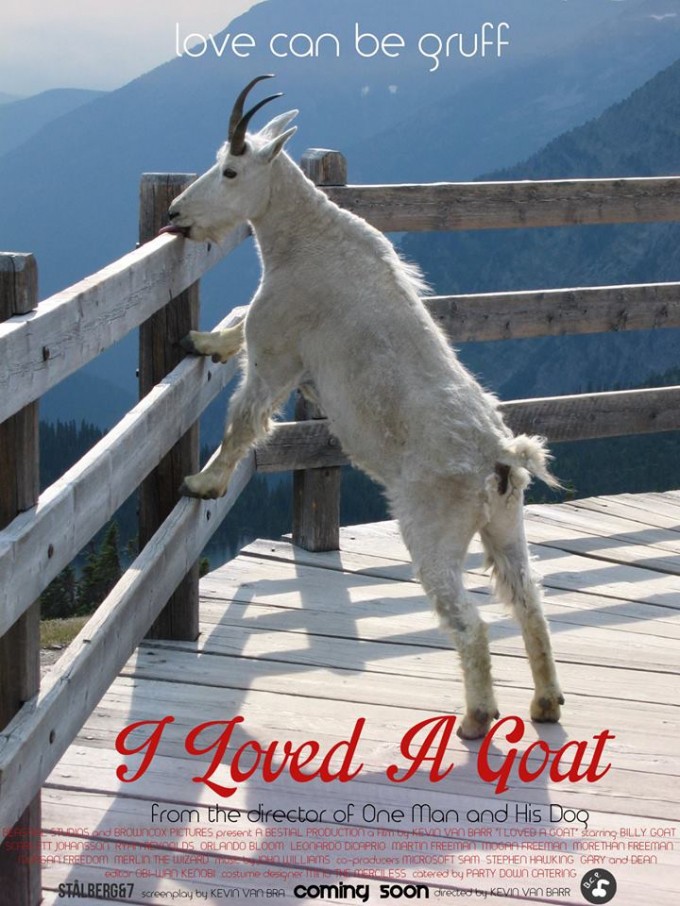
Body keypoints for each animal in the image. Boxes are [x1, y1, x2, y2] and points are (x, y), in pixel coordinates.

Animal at [163, 75, 564, 740]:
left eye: (229, 170)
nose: (175, 215)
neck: (306, 238)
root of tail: (501, 459)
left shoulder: (278, 349)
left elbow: (244, 417)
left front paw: (203, 483)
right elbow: (238, 325)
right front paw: (204, 341)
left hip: (433, 531)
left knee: (471, 622)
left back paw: (477, 718)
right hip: (507, 528)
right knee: (528, 603)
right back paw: (546, 702)